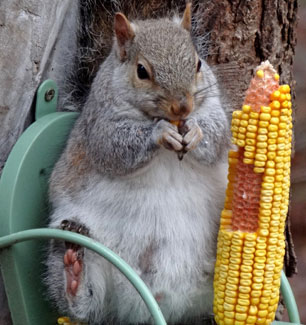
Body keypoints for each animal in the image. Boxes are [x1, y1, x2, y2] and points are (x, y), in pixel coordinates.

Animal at [46, 3, 230, 324]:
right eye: (142, 71)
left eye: (198, 64)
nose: (183, 107)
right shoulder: (100, 123)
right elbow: (114, 147)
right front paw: (160, 133)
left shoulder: (213, 106)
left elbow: (217, 135)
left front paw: (196, 131)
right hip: (80, 247)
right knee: (83, 304)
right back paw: (74, 274)